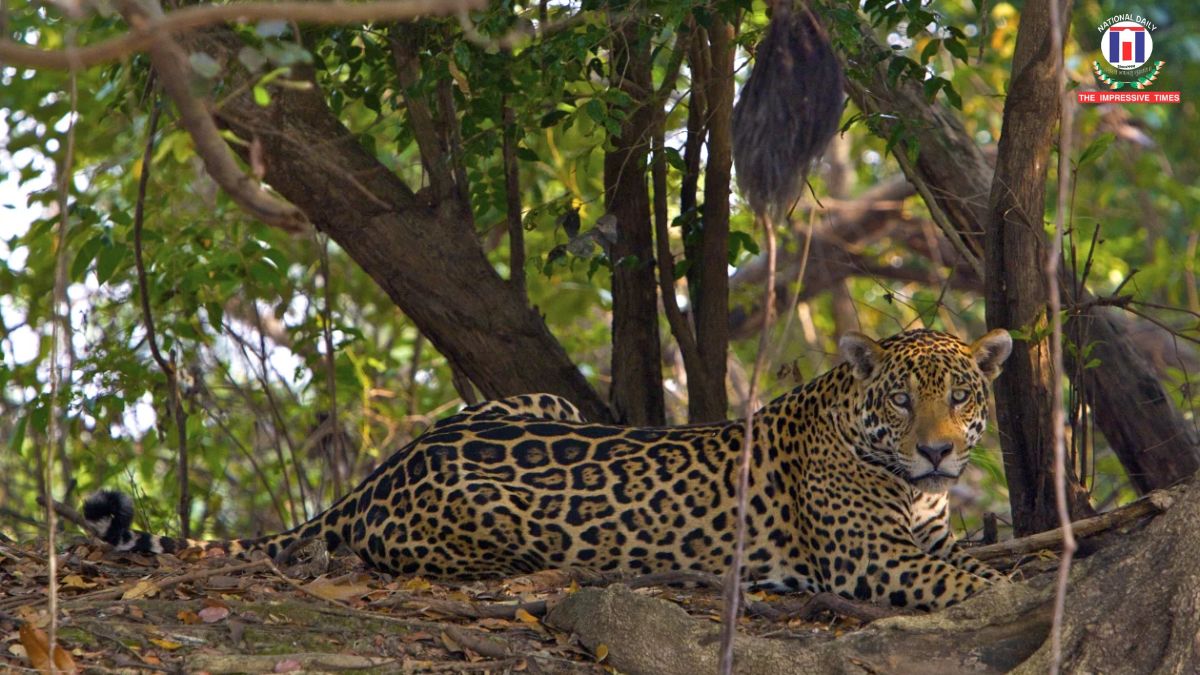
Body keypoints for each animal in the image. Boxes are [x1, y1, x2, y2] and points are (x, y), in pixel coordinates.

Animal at [84, 328, 1012, 610]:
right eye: (900, 399)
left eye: (962, 394)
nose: (937, 448)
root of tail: (383, 472)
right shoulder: (871, 557)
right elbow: (974, 582)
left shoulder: (927, 538)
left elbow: (972, 559)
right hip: (497, 529)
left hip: (542, 400)